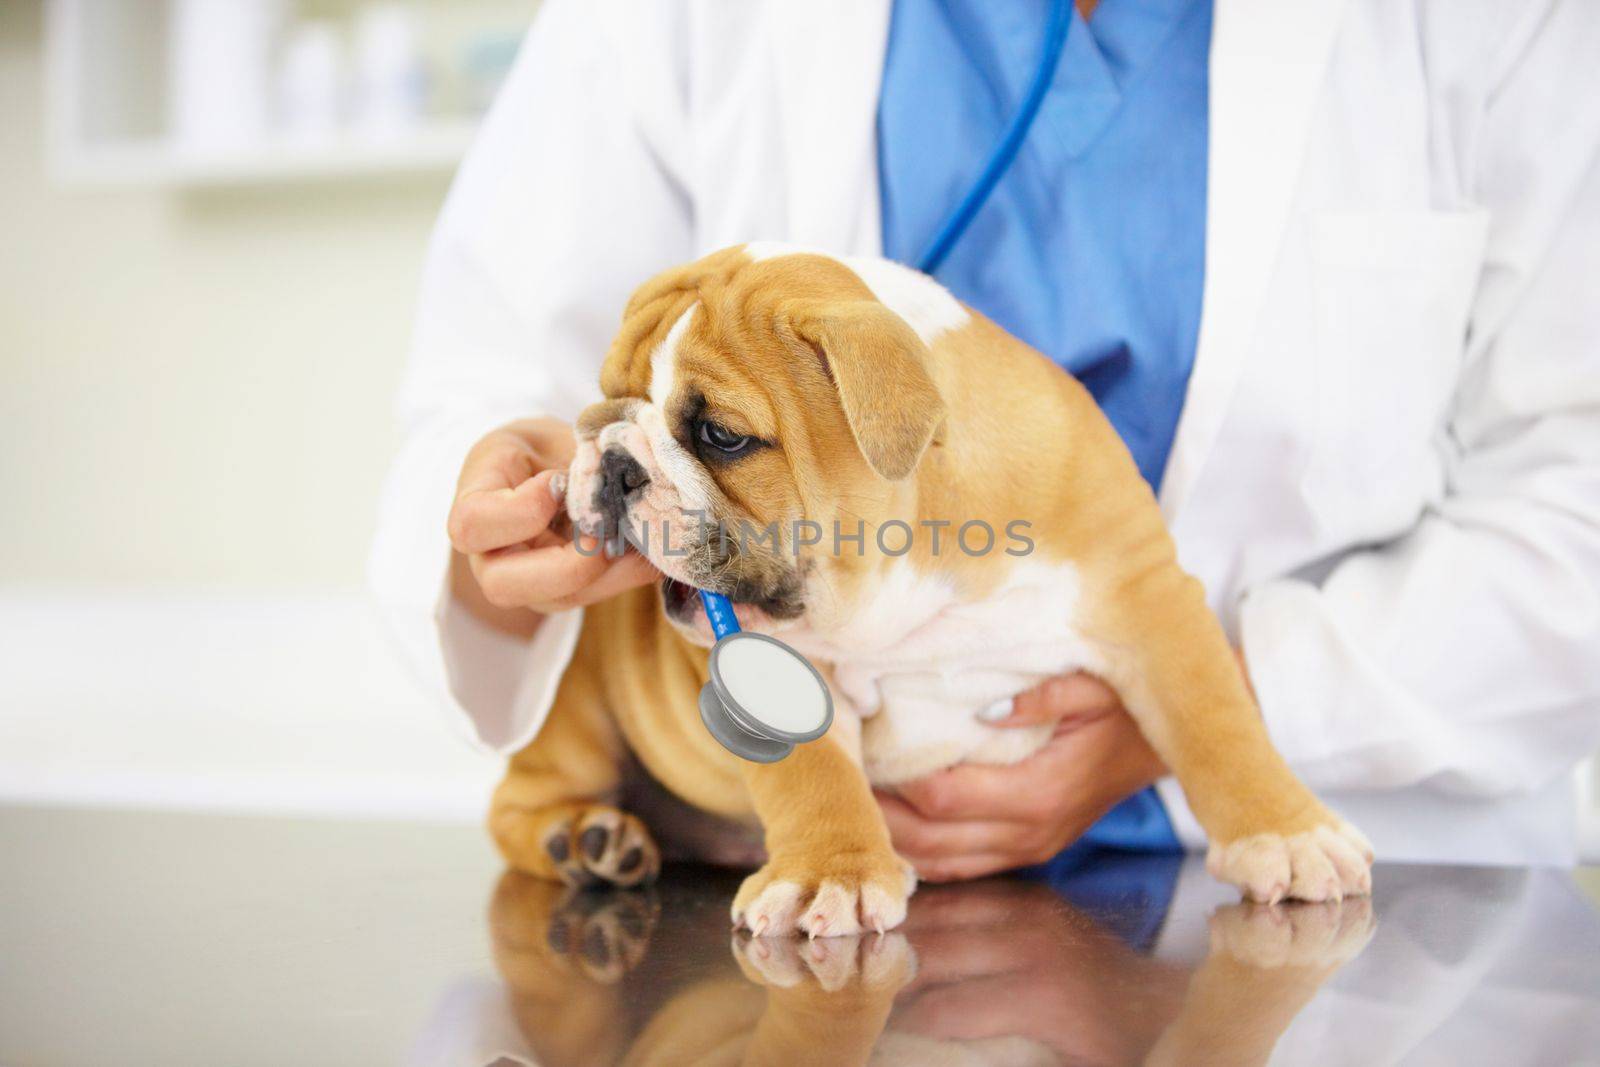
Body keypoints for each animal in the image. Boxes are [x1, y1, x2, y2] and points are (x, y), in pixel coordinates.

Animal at [489, 241, 1376, 934]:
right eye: (606, 399)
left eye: (721, 435)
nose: (611, 456)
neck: (912, 570)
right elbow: (813, 774)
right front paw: (831, 875)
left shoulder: (1148, 596)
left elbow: (1217, 721)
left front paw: (1287, 834)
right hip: (574, 710)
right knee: (517, 803)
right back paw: (587, 839)